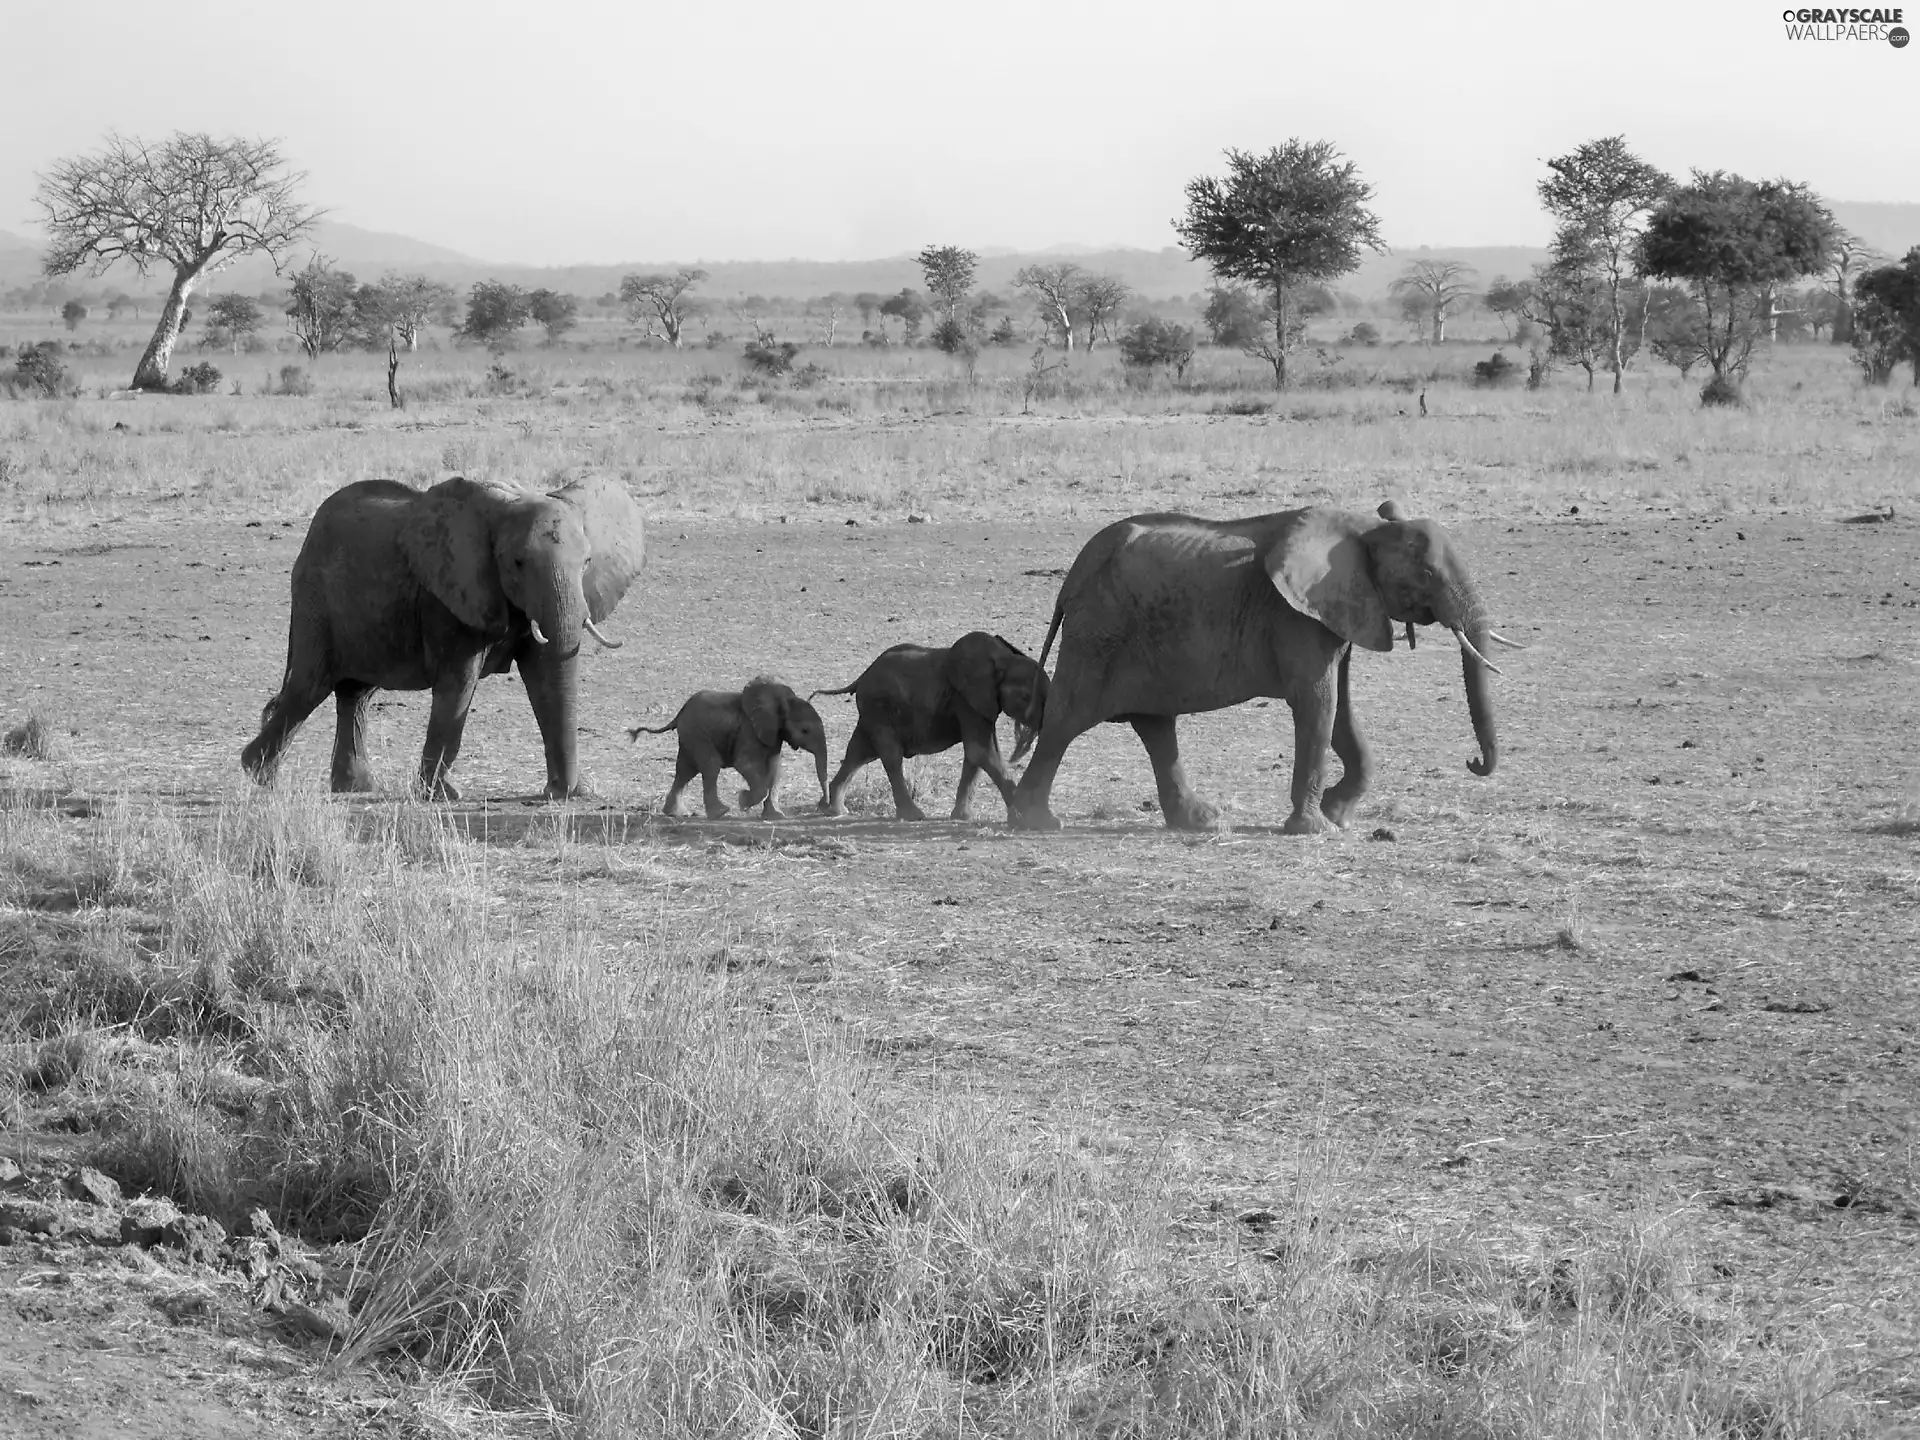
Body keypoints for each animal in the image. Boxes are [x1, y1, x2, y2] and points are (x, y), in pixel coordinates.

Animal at [238, 480, 645, 806]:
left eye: (588, 561)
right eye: (517, 563)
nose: (568, 790)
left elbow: (545, 678)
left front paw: (566, 793)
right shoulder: (447, 598)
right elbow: (458, 684)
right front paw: (442, 796)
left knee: (354, 694)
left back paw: (356, 788)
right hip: (316, 600)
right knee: (309, 687)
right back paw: (258, 774)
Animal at [633, 679, 829, 821]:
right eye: (805, 730)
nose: (824, 806)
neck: (781, 701)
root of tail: (679, 713)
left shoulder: (773, 734)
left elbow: (775, 769)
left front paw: (776, 817)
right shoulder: (749, 730)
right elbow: (745, 763)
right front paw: (743, 801)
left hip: (690, 737)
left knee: (685, 771)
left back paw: (677, 814)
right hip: (697, 734)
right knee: (710, 766)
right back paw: (720, 813)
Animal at [810, 629, 1052, 821]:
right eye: (1026, 697)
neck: (1004, 659)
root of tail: (861, 677)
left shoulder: (979, 705)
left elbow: (976, 754)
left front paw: (963, 818)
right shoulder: (966, 699)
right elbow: (981, 750)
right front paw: (1025, 814)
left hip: (872, 712)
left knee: (859, 752)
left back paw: (834, 810)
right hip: (879, 709)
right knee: (890, 756)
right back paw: (913, 816)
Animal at [1013, 503, 1520, 833]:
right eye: (1429, 575)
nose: (1474, 762)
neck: (1365, 530)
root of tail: (1072, 577)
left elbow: (1341, 711)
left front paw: (1337, 815)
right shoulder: (1297, 617)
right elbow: (1319, 705)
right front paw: (1316, 829)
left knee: (1156, 727)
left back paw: (1200, 822)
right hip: (1098, 633)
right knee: (1066, 720)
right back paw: (1036, 822)